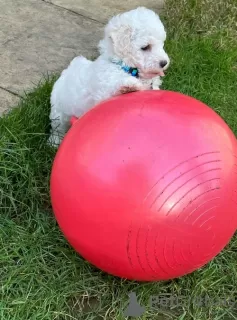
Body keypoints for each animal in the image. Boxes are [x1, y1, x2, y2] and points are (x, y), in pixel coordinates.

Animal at [49, 6, 169, 146]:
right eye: (145, 47)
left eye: (162, 44)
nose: (164, 63)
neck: (126, 67)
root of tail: (69, 68)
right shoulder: (102, 92)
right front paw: (129, 85)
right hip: (59, 110)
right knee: (57, 127)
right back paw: (53, 142)